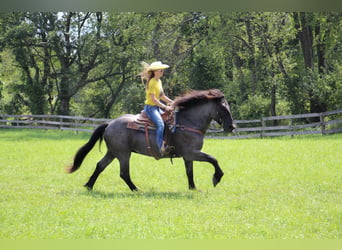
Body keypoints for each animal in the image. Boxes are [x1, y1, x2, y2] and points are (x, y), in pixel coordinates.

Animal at [68, 90, 236, 191]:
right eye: (223, 108)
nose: (232, 126)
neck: (187, 123)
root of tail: (109, 124)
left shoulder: (188, 156)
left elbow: (190, 172)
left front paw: (193, 188)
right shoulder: (192, 153)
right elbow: (213, 159)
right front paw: (216, 178)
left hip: (113, 152)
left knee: (100, 166)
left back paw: (89, 186)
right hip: (123, 154)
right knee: (123, 173)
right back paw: (136, 189)